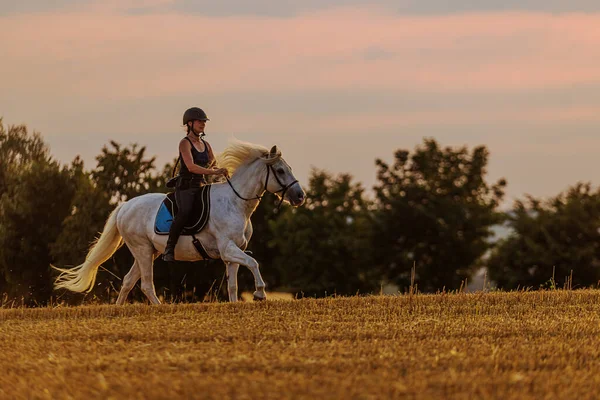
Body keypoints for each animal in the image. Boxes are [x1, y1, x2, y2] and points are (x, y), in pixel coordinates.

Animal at [52, 141, 304, 304]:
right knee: (146, 284)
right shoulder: (227, 248)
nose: (300, 197)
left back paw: (119, 311)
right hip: (142, 249)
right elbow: (254, 263)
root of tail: (124, 206)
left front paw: (235, 305)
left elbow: (233, 285)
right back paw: (159, 308)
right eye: (280, 170)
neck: (236, 202)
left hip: (149, 251)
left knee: (128, 281)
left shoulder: (232, 252)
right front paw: (260, 294)